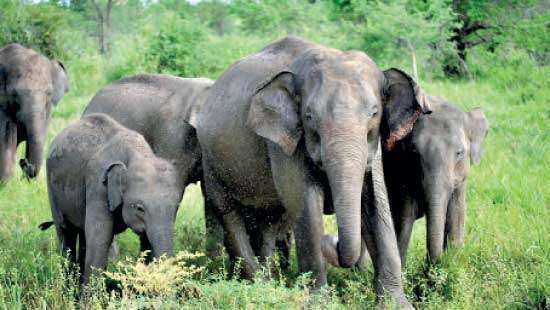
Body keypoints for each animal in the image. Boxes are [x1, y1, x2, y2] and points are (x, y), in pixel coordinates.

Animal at [0, 42, 69, 180]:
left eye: (49, 93)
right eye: (14, 94)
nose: (23, 162)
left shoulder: (47, 111)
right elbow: (6, 139)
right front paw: (5, 183)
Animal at [45, 114, 181, 284]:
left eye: (176, 207)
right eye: (139, 208)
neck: (137, 153)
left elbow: (146, 241)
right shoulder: (98, 184)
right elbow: (99, 240)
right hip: (53, 189)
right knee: (65, 232)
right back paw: (68, 287)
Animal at [196, 35, 434, 306]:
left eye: (374, 113)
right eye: (309, 116)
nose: (332, 239)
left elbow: (376, 202)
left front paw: (396, 304)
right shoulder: (283, 142)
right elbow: (305, 203)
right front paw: (319, 302)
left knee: (269, 220)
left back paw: (269, 282)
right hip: (211, 161)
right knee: (229, 213)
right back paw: (259, 287)